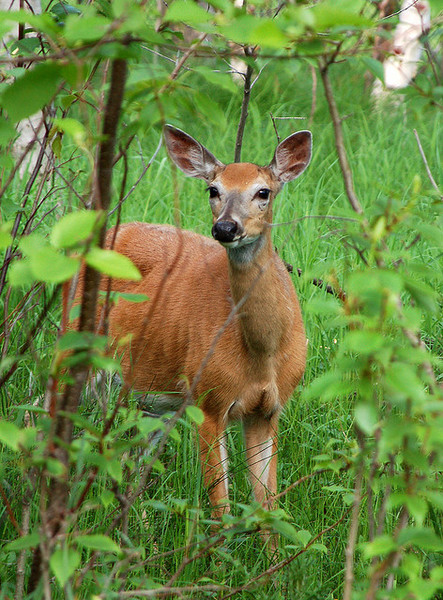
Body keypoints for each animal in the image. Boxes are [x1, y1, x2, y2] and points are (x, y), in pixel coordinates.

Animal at [72, 125, 312, 520]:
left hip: (151, 396)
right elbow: (221, 508)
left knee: (134, 453)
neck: (262, 353)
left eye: (263, 191)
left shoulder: (268, 410)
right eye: (213, 189)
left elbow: (267, 505)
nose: (225, 227)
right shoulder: (208, 400)